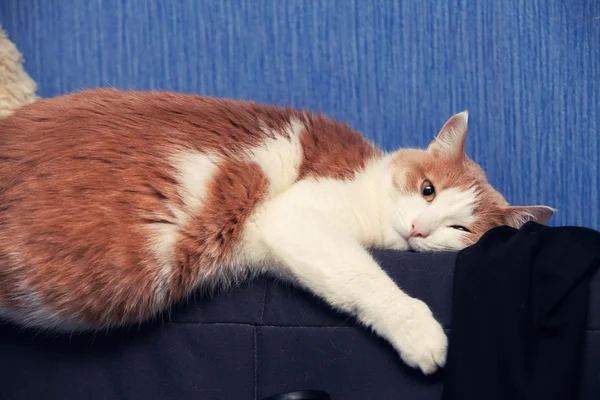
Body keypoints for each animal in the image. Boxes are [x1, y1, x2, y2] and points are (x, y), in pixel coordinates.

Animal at [0, 89, 552, 374]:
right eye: (428, 189)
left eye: (461, 228)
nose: (418, 228)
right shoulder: (293, 218)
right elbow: (366, 279)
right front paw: (421, 334)